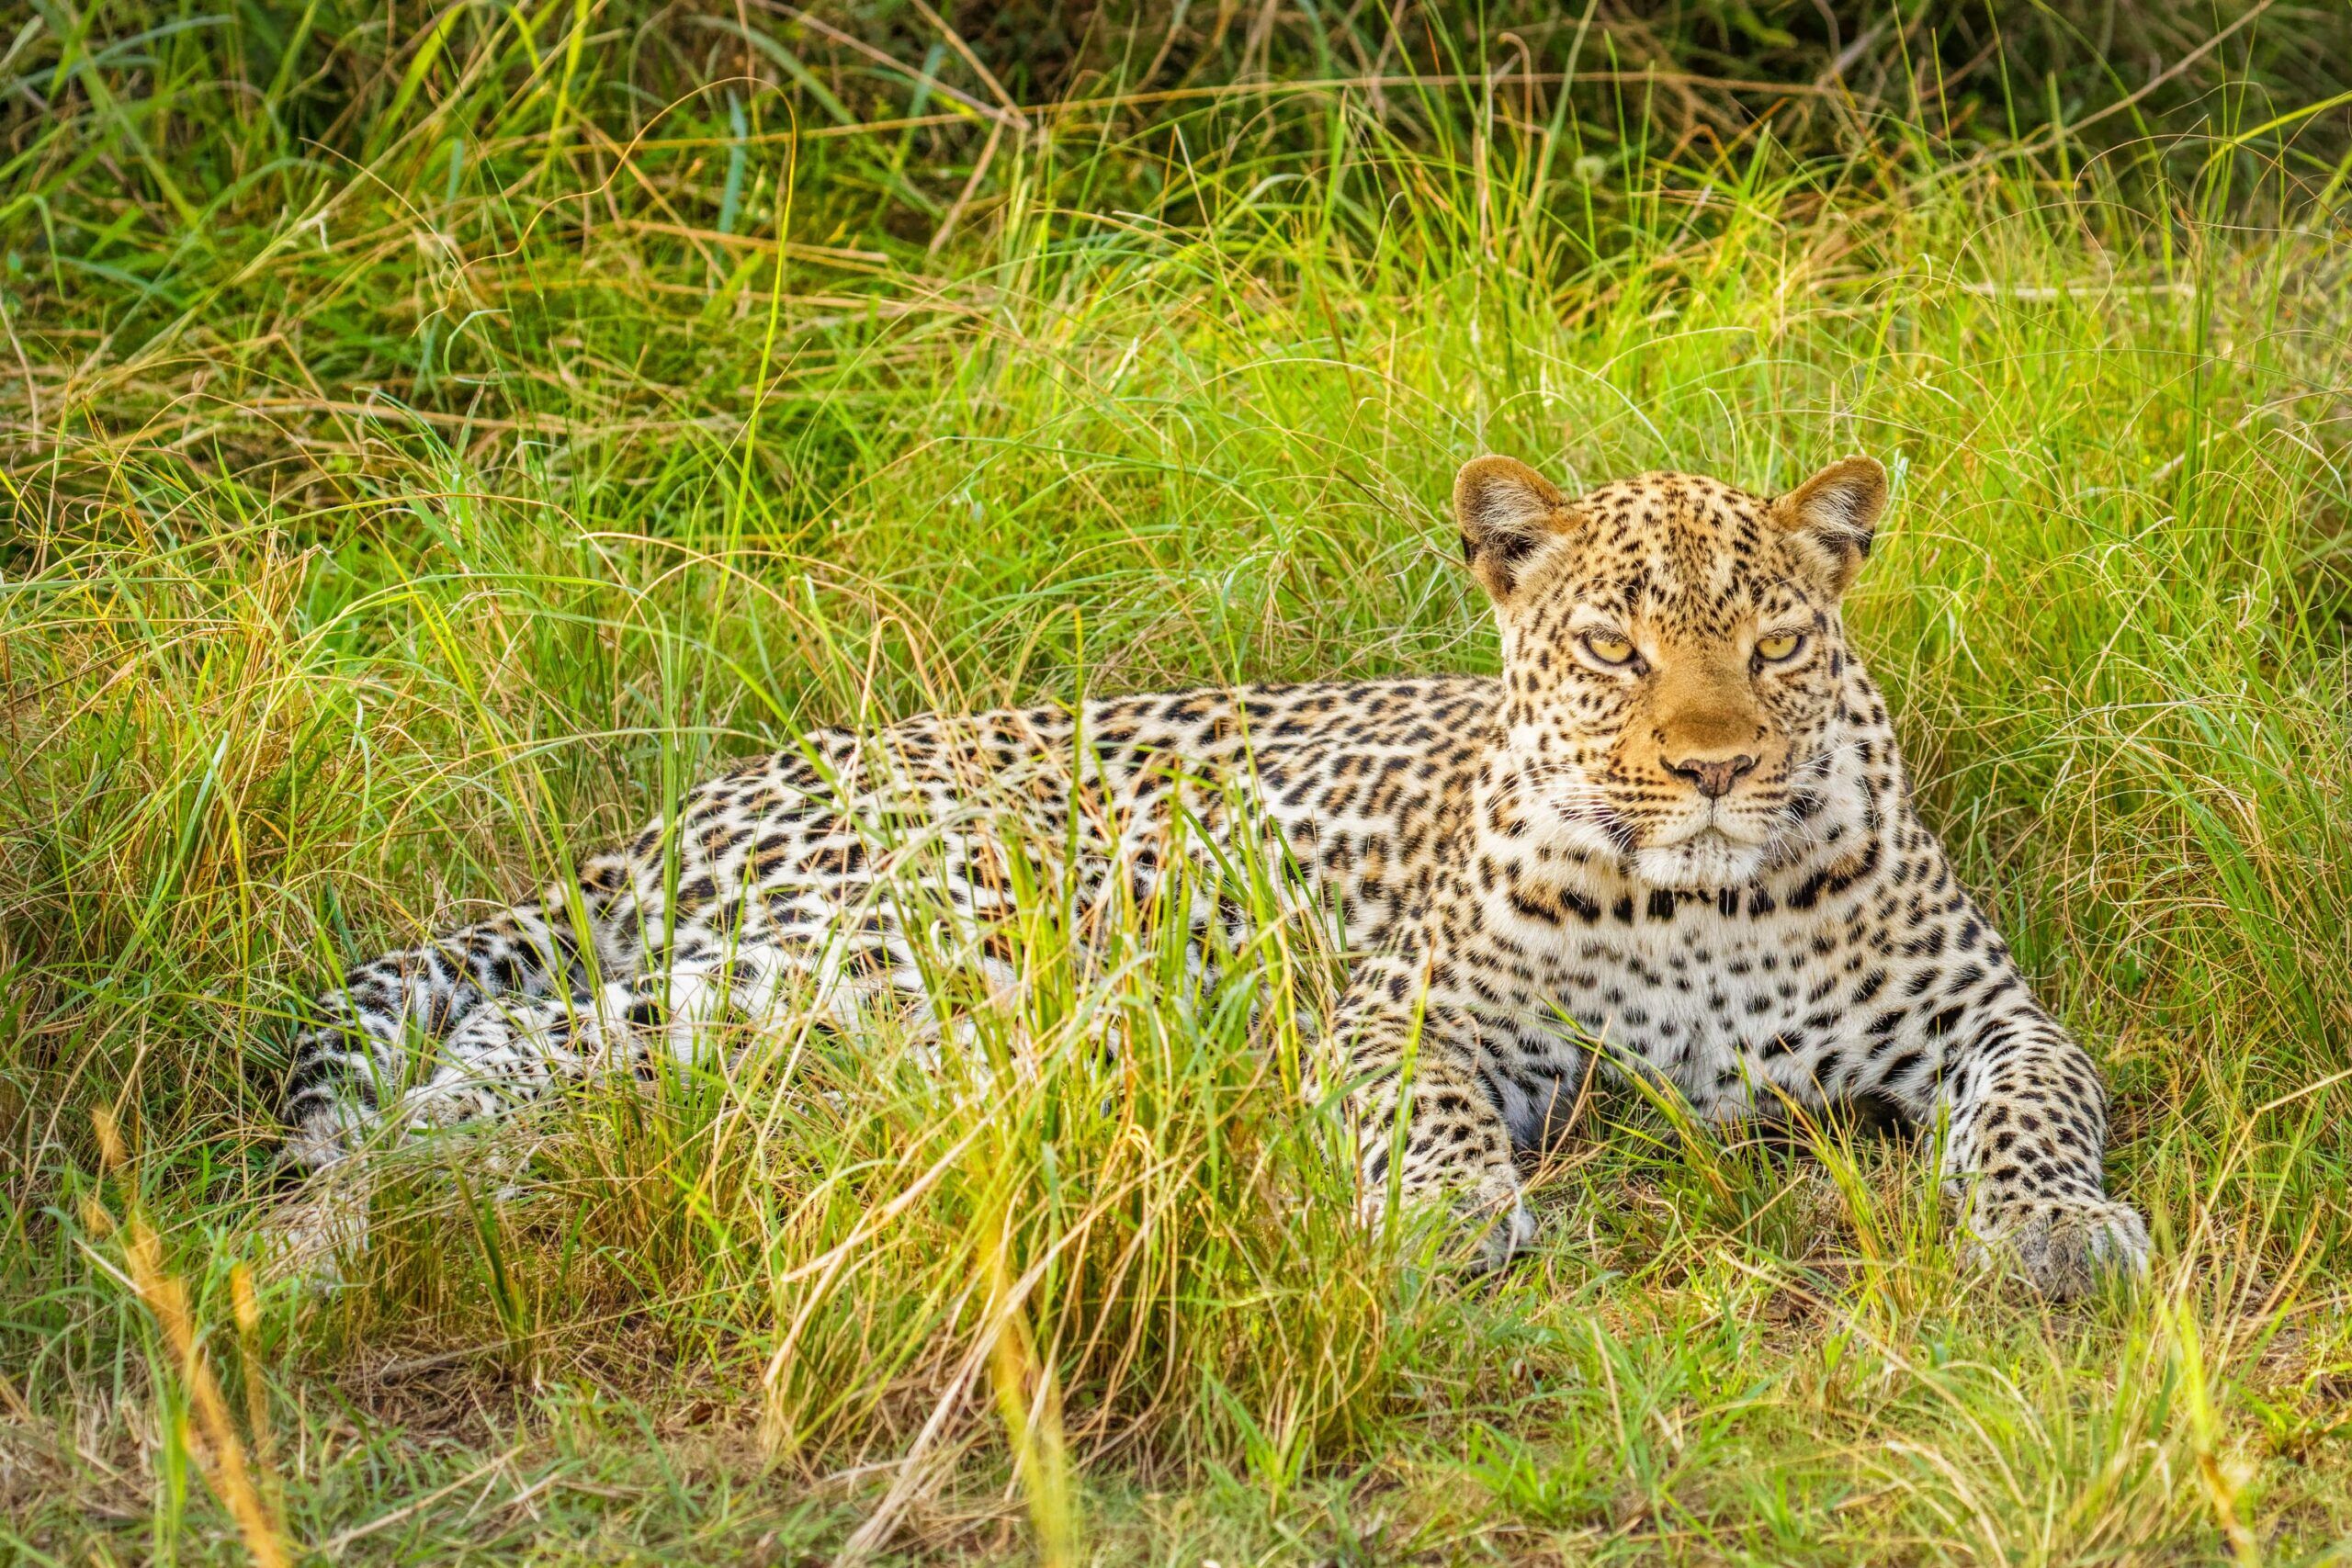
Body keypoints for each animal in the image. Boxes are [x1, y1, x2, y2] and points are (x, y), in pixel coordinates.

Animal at [276, 453, 2150, 1297]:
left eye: (1773, 646)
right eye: (1613, 647)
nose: (1710, 764)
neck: (1698, 905)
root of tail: (726, 784)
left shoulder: (1995, 1016)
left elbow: (2042, 1106)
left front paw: (2055, 1228)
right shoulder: (1405, 1016)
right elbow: (1432, 1110)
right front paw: (1453, 1213)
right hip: (938, 940)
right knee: (536, 1037)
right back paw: (368, 1201)